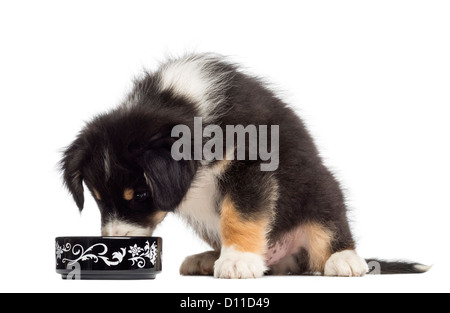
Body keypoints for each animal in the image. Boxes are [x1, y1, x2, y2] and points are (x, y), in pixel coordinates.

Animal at [59, 53, 428, 276]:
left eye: (139, 195)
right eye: (97, 198)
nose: (115, 243)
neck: (178, 104)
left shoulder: (250, 163)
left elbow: (240, 214)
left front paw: (237, 260)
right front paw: (230, 258)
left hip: (322, 190)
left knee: (329, 229)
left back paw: (345, 260)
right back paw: (209, 259)